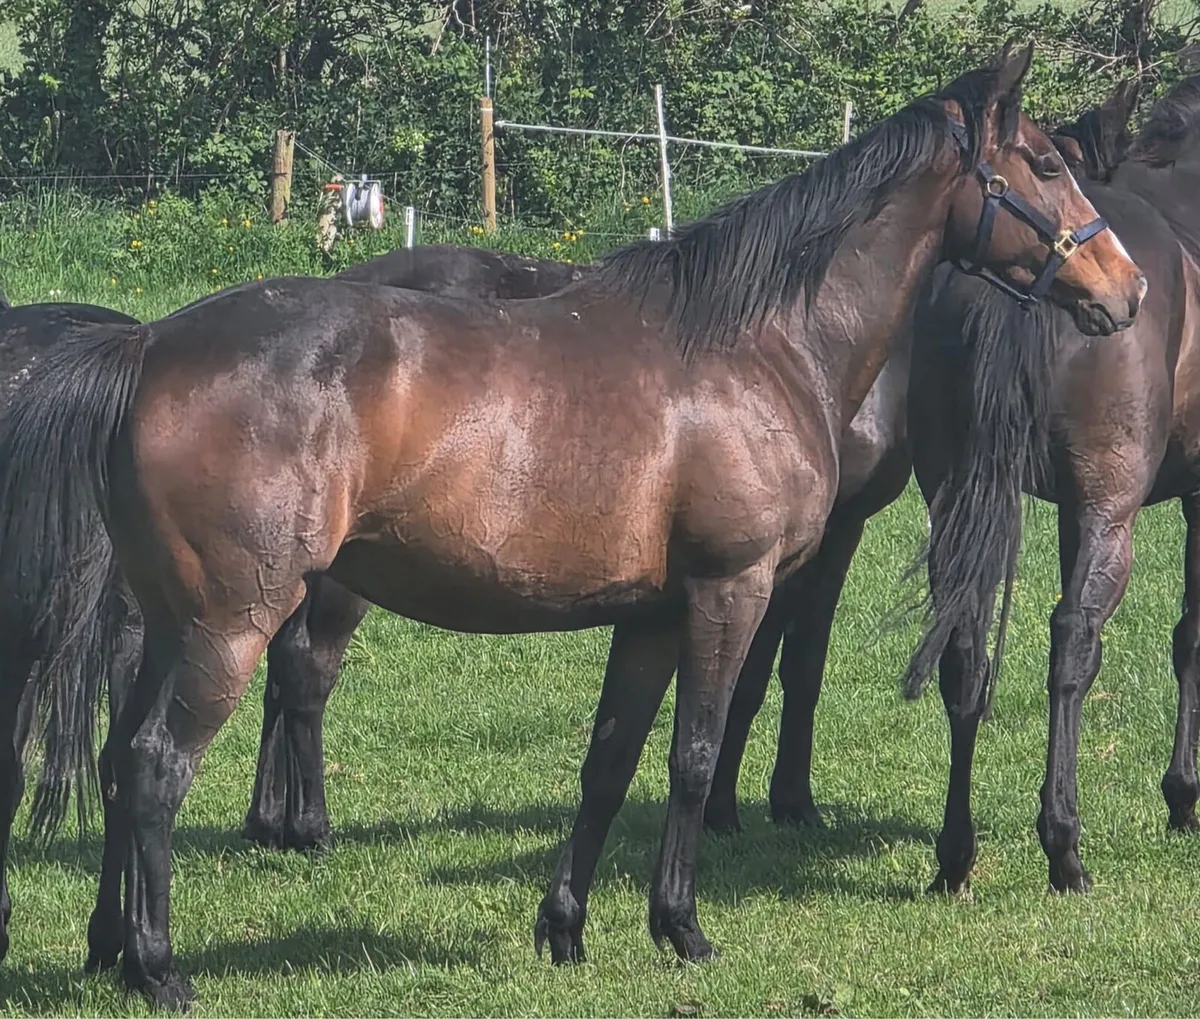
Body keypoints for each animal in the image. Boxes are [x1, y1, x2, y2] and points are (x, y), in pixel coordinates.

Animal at [901, 74, 1200, 898]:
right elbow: (1190, 635)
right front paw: (1183, 797)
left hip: (960, 495)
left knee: (964, 646)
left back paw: (955, 856)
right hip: (1111, 509)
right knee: (1070, 643)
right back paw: (1064, 846)